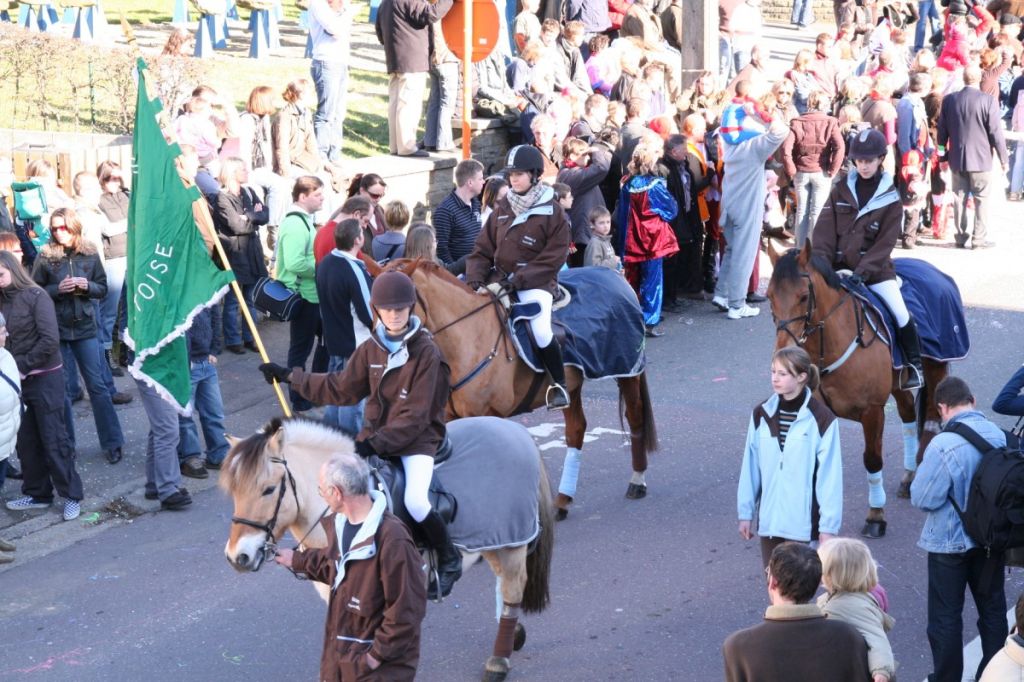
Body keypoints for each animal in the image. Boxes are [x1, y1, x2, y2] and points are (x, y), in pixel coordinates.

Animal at [368, 258, 655, 518]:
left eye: (400, 305)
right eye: (372, 304)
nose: (381, 349)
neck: (467, 337)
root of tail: (616, 276)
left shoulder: (486, 415)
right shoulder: (449, 418)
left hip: (627, 371)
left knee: (635, 417)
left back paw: (638, 480)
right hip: (572, 384)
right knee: (576, 430)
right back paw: (563, 501)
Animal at [765, 242, 946, 536]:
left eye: (803, 297)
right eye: (769, 296)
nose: (782, 352)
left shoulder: (872, 411)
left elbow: (872, 459)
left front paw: (876, 516)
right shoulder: (819, 410)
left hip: (936, 368)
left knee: (930, 416)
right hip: (898, 381)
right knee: (908, 412)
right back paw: (908, 478)